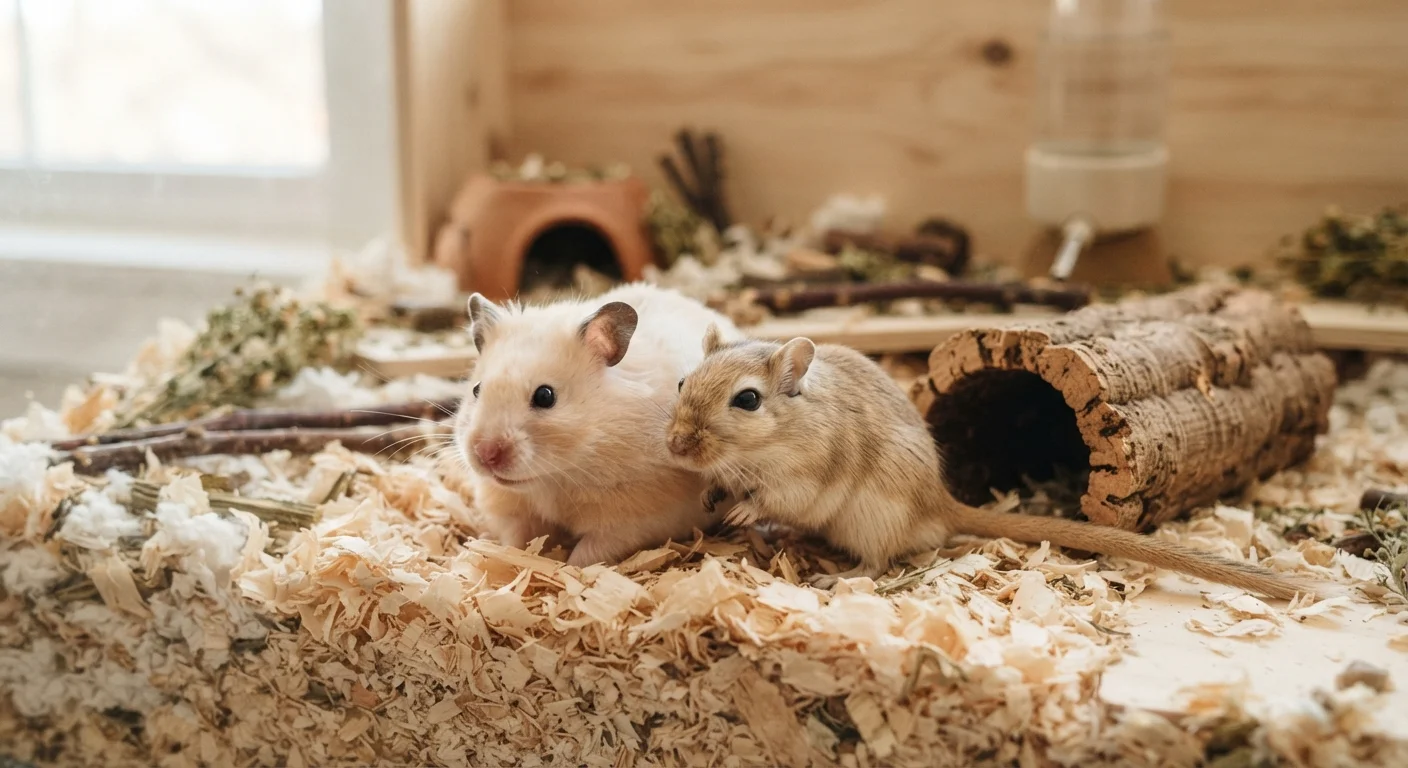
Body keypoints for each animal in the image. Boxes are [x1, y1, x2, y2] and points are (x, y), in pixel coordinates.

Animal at [455, 283, 742, 567]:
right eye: (476, 389)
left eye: (545, 396)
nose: (485, 454)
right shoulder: (510, 506)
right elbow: (516, 539)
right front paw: (508, 557)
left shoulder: (634, 518)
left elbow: (591, 553)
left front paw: (567, 567)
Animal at [665, 328, 1329, 600]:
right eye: (680, 382)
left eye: (748, 401)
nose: (674, 447)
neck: (767, 443)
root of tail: (941, 505)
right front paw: (713, 498)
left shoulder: (802, 477)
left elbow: (772, 497)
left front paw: (742, 511)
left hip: (871, 518)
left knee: (878, 563)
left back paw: (835, 577)